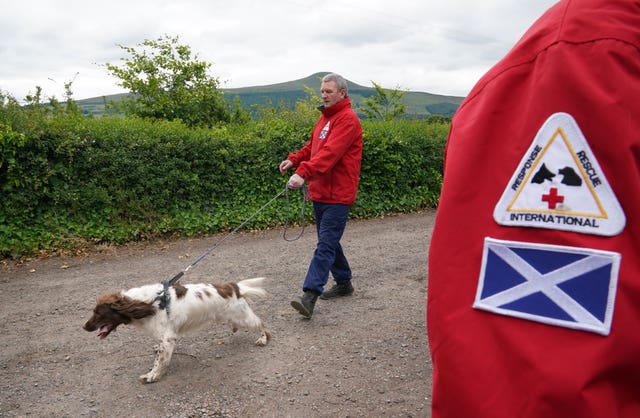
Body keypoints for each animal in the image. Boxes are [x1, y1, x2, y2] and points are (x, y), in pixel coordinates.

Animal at [83, 278, 270, 382]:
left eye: (98, 313)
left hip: (242, 316)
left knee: (262, 325)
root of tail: (233, 287)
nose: (84, 327)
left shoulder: (167, 339)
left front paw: (152, 376)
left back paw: (263, 339)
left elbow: (160, 361)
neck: (148, 303)